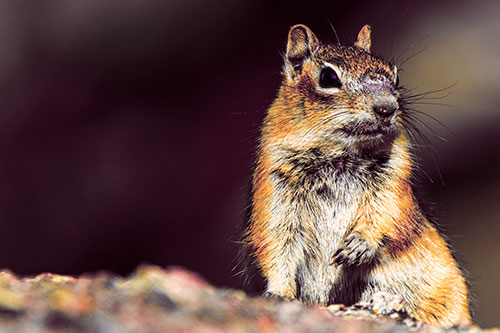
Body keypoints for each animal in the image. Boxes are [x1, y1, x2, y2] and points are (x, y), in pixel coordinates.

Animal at [244, 24, 470, 326]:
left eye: (395, 76)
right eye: (328, 77)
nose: (387, 108)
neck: (339, 156)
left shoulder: (394, 181)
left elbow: (389, 214)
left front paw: (359, 245)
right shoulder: (275, 188)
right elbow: (276, 244)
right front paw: (279, 293)